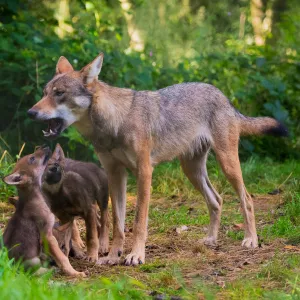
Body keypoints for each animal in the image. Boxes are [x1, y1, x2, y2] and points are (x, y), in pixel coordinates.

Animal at [28, 53, 288, 264]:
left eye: (59, 94)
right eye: (45, 93)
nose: (31, 112)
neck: (114, 123)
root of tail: (224, 97)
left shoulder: (144, 173)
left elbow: (138, 222)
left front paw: (135, 256)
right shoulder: (115, 174)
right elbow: (118, 224)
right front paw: (112, 256)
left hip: (227, 165)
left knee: (247, 198)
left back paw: (250, 240)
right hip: (192, 171)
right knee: (217, 200)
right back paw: (210, 240)